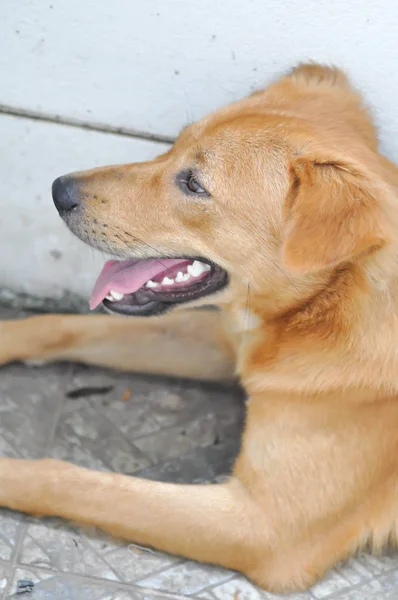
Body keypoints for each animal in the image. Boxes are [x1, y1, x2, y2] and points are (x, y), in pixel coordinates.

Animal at [0, 63, 398, 592]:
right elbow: (58, 325)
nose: (58, 189)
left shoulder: (263, 527)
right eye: (172, 146)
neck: (325, 307)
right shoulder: (227, 342)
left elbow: (72, 481)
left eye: (194, 184)